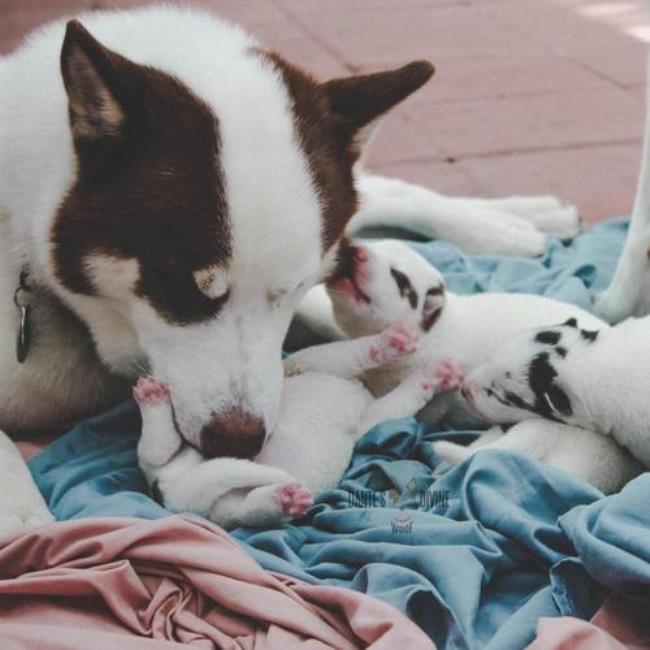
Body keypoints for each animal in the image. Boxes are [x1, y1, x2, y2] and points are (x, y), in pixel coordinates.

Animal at [134, 322, 458, 528]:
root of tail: (171, 496)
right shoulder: (348, 394)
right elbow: (353, 357)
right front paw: (411, 360)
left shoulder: (365, 415)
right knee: (153, 450)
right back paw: (151, 400)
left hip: (225, 505)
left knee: (248, 508)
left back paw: (283, 499)